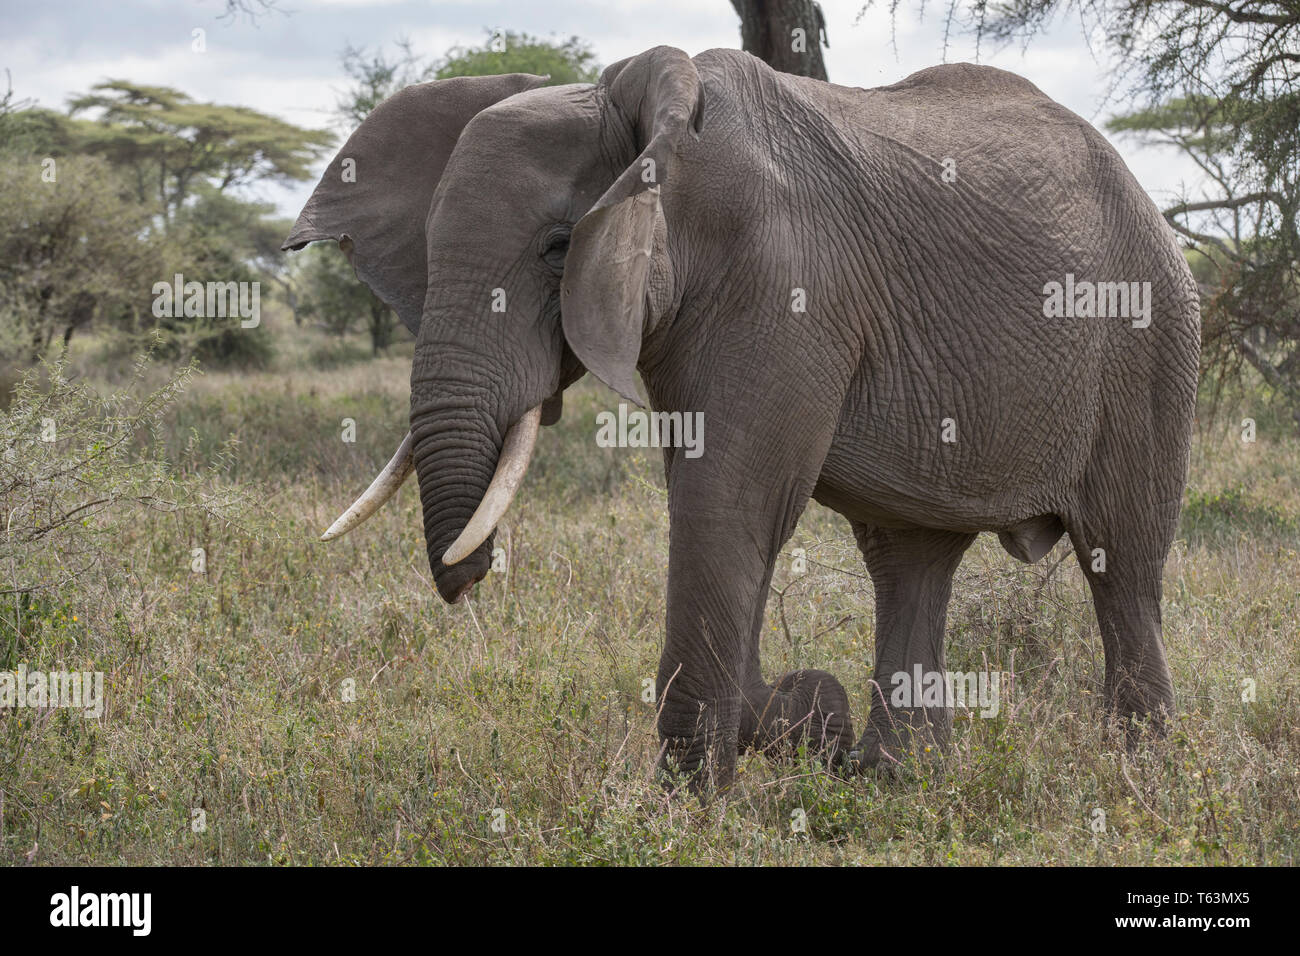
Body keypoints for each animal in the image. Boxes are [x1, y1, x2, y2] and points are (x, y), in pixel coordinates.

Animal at [282, 44, 1196, 790]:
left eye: (556, 249)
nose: (468, 576)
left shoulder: (782, 282)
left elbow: (729, 501)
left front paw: (694, 799)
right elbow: (726, 501)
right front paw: (801, 722)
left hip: (1150, 339)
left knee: (1122, 558)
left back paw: (1140, 780)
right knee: (909, 557)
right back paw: (897, 778)